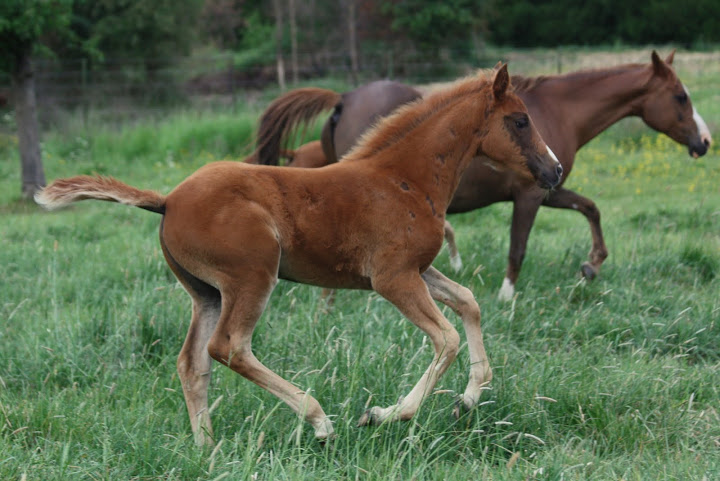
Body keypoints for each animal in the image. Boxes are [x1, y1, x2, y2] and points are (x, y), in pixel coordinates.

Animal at [33, 65, 564, 444]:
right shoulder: (392, 278)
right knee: (229, 348)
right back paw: (319, 420)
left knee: (192, 362)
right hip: (252, 276)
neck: (402, 179)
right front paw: (384, 415)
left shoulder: (418, 269)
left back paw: (207, 449)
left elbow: (469, 302)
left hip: (206, 292)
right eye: (519, 121)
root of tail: (167, 200)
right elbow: (447, 338)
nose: (555, 170)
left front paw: (467, 401)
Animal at [256, 52, 712, 300]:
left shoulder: (551, 186)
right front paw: (508, 297)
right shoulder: (531, 194)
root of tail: (343, 97)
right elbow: (518, 248)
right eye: (680, 97)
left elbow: (591, 208)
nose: (705, 141)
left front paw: (591, 265)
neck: (561, 110)